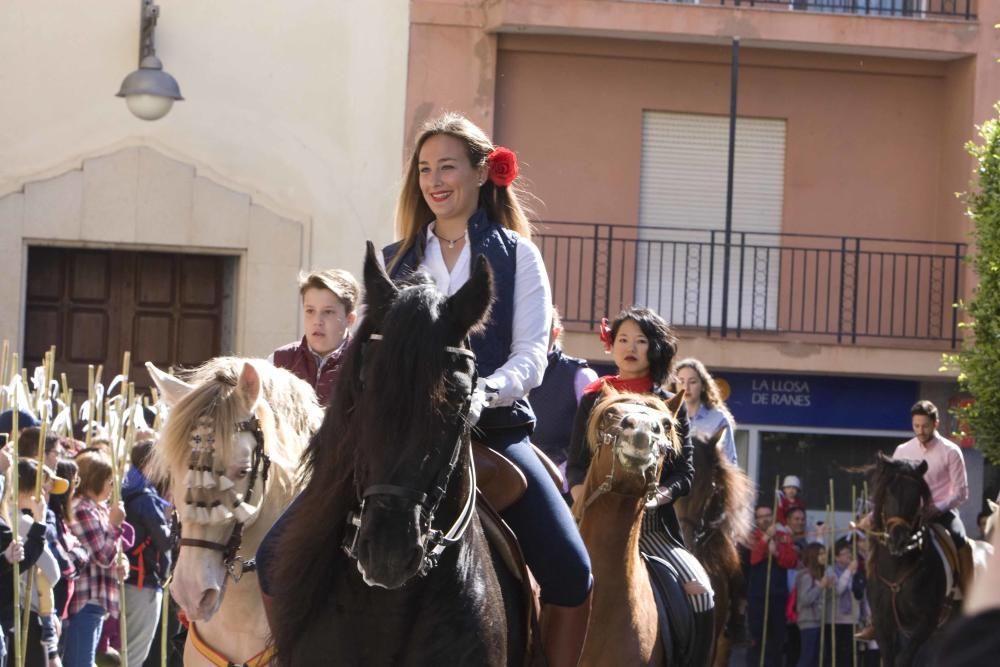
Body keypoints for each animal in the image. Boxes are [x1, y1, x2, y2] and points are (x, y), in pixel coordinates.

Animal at [868, 454, 952, 667]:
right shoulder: (882, 624)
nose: (898, 540)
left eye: (917, 496)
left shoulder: (925, 624)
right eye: (889, 492)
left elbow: (903, 659)